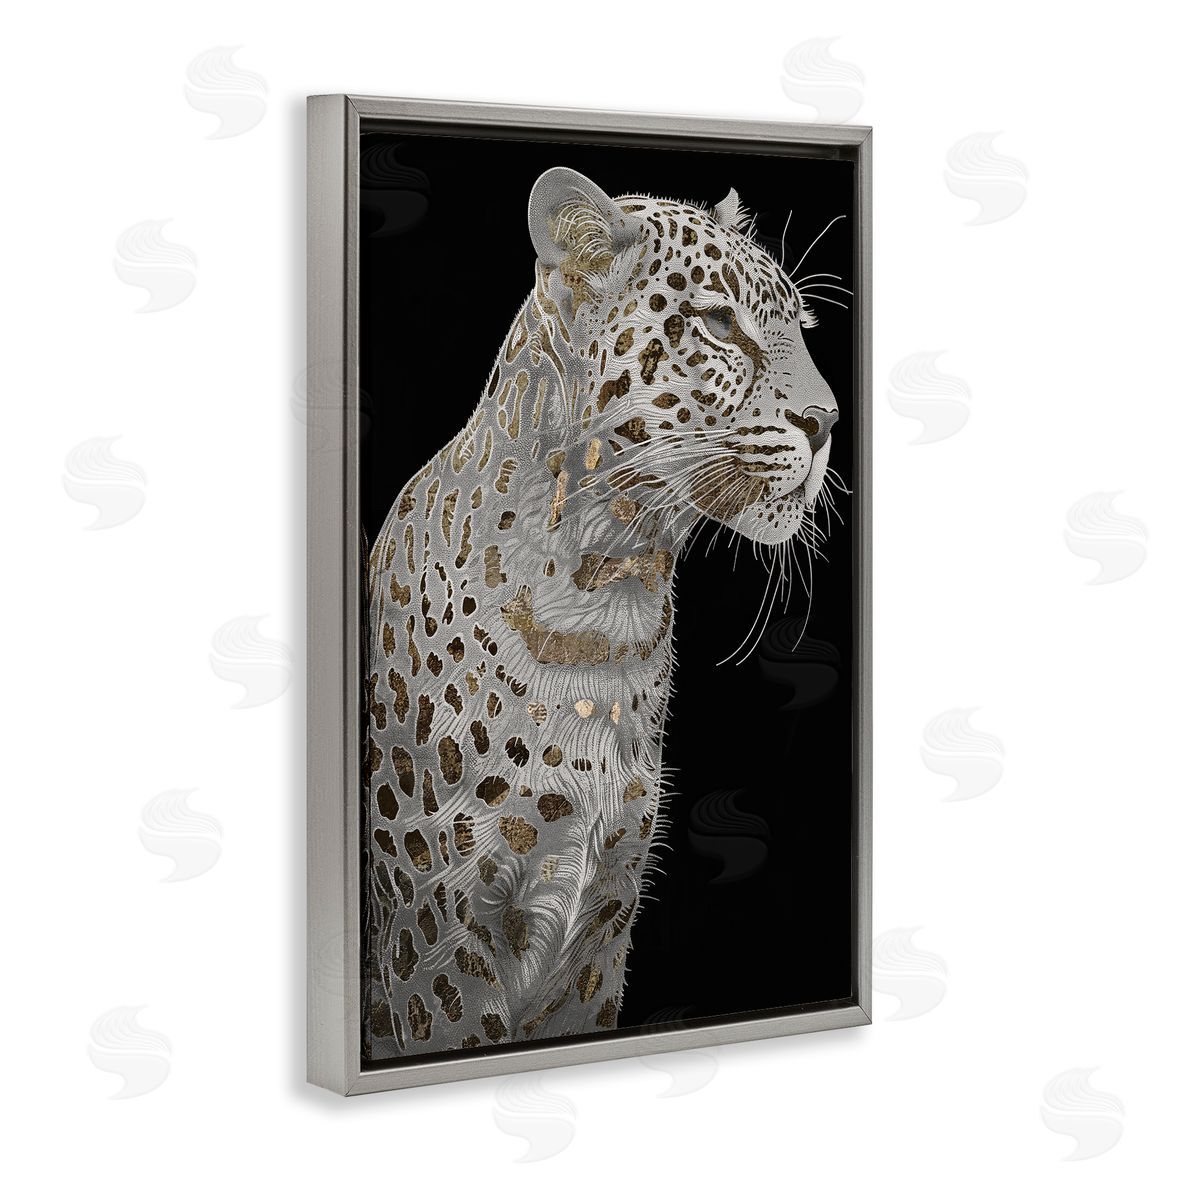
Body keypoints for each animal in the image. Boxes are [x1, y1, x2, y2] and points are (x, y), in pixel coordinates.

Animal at [363, 167, 841, 1058]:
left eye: (799, 327)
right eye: (720, 325)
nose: (827, 423)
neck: (609, 598)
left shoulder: (603, 923)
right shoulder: (442, 937)